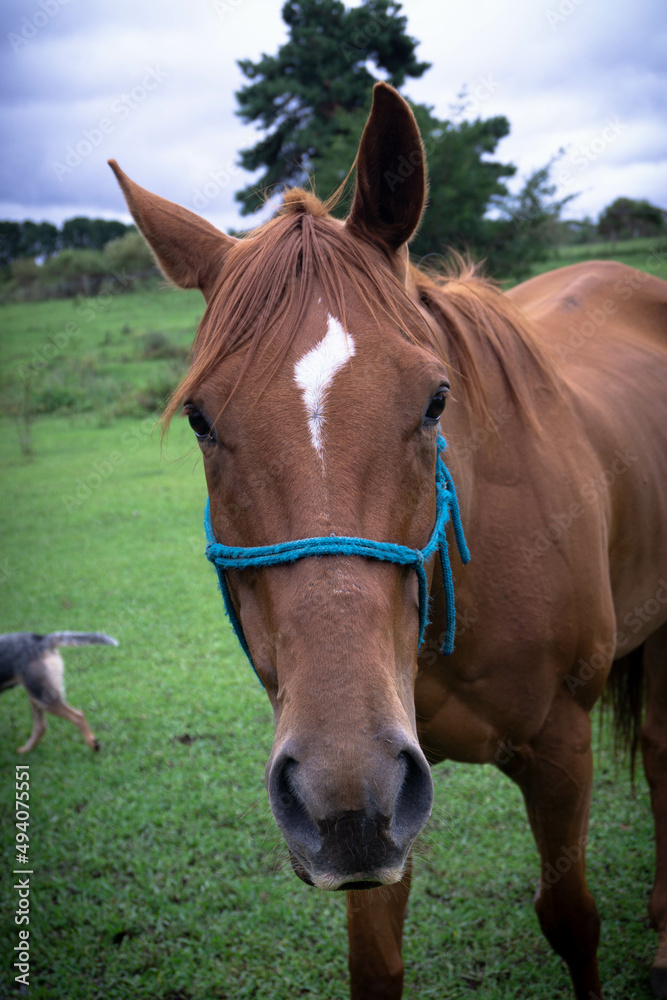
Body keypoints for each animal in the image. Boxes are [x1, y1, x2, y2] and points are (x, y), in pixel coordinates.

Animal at [109, 82, 667, 999]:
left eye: (436, 398)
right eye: (199, 419)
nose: (342, 793)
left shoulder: (558, 748)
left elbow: (571, 919)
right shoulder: (369, 801)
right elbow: (374, 962)